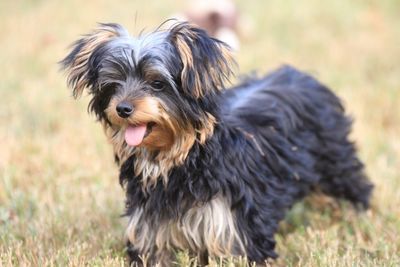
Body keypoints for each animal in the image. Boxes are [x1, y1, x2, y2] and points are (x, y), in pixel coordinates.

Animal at [61, 22, 374, 266]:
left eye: (157, 83)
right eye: (113, 84)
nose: (123, 108)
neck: (178, 159)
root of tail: (301, 75)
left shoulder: (234, 228)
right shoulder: (150, 229)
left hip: (334, 158)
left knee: (352, 186)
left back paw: (357, 217)